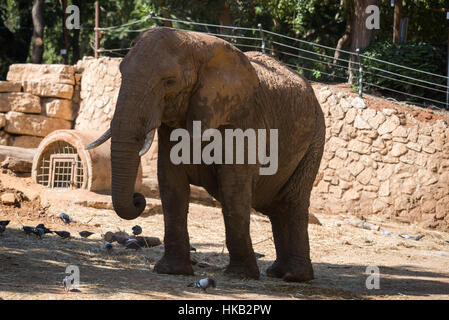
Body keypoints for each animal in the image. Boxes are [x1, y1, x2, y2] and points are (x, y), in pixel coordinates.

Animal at [86, 27, 326, 282]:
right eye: (121, 74)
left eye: (169, 81)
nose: (138, 198)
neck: (197, 45)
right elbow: (171, 184)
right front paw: (171, 271)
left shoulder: (241, 119)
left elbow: (233, 189)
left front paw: (240, 275)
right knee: (277, 207)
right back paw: (276, 272)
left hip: (315, 139)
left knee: (292, 203)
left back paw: (295, 276)